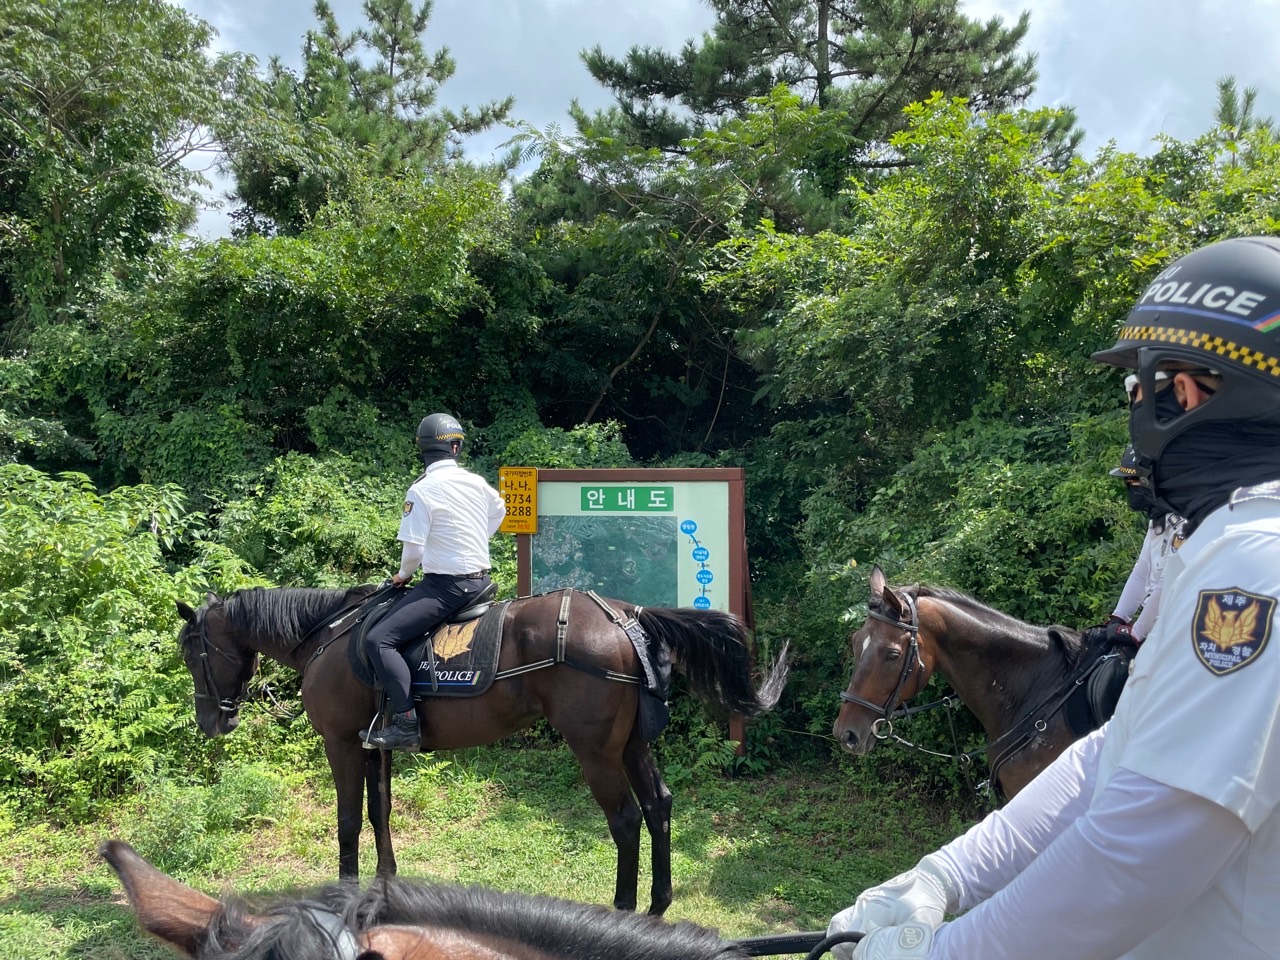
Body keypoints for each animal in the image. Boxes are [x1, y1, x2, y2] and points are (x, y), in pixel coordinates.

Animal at [174, 586, 783, 916]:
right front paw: (385, 887)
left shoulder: (342, 744)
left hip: (596, 751)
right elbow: (379, 813)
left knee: (626, 818)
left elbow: (347, 821)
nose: (212, 721)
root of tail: (625, 616)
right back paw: (657, 904)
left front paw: (345, 897)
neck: (327, 637)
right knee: (658, 806)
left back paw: (624, 908)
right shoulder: (376, 745)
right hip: (631, 745)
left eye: (190, 651)